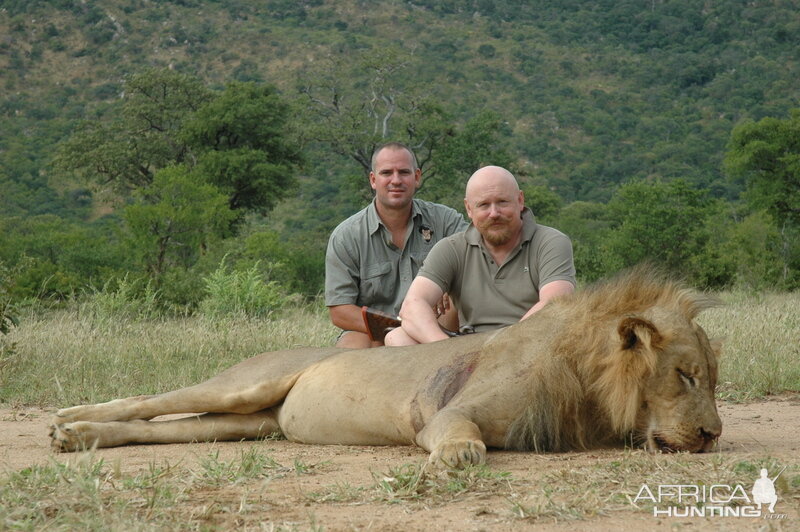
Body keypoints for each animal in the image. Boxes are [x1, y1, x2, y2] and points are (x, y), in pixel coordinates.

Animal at [51, 268, 724, 468]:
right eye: (686, 376)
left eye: (712, 382)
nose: (713, 435)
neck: (587, 382)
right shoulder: (449, 411)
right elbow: (462, 435)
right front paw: (460, 456)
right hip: (246, 384)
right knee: (147, 402)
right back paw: (66, 421)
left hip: (252, 423)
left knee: (162, 427)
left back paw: (78, 438)